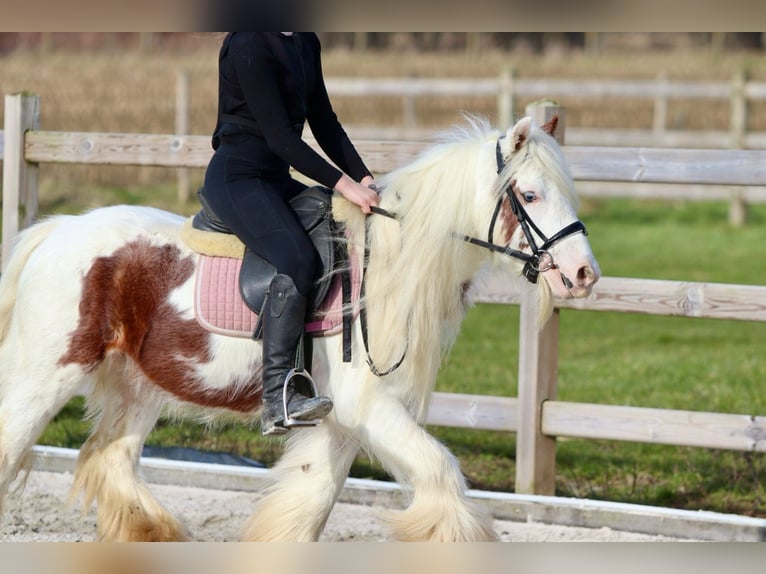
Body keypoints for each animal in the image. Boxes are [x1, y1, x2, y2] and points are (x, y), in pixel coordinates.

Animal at [0, 115, 600, 544]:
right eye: (529, 195)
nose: (584, 275)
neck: (386, 262)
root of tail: (56, 231)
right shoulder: (368, 406)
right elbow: (440, 472)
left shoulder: (339, 419)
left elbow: (309, 505)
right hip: (47, 377)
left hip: (137, 386)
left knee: (112, 460)